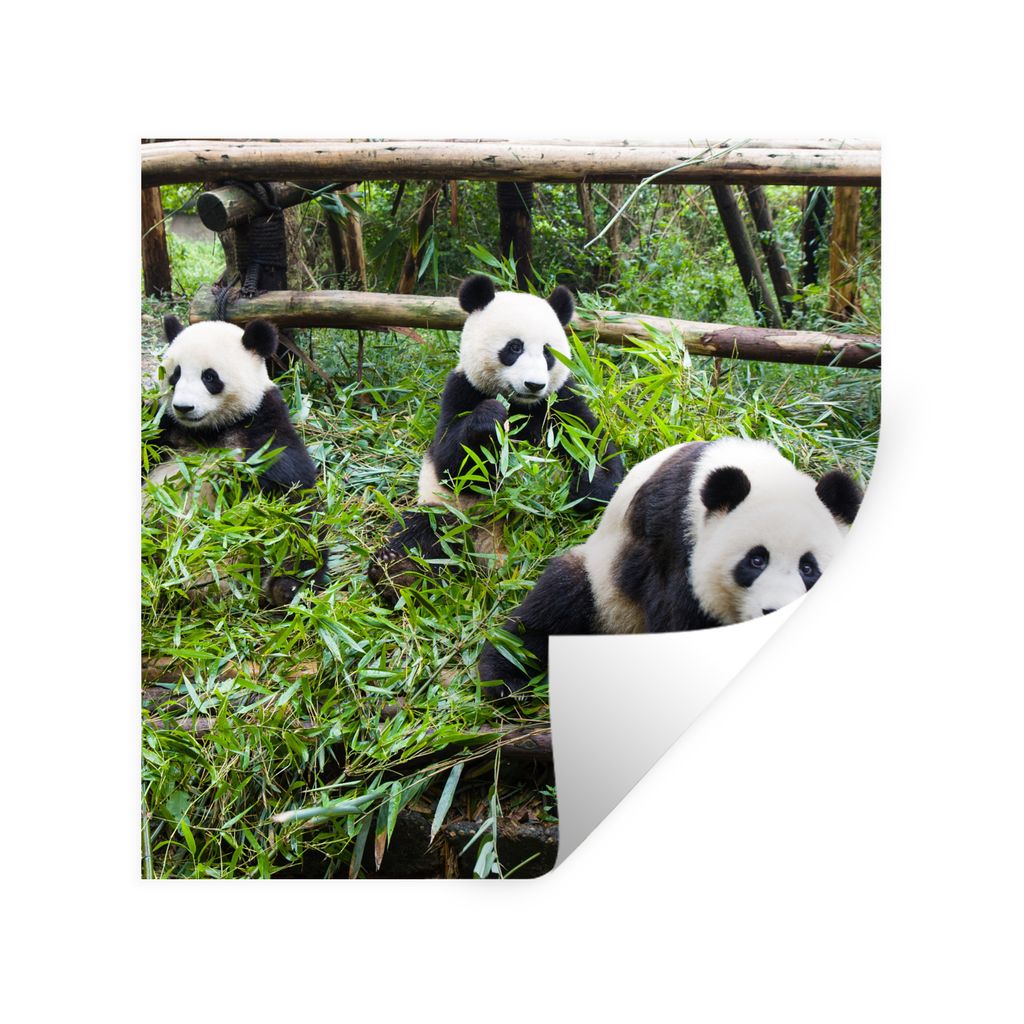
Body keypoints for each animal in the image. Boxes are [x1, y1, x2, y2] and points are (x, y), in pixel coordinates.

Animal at [147, 315, 323, 605]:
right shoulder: (163, 427)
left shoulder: (263, 424)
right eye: (175, 375)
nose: (183, 407)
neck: (208, 430)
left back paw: (285, 590)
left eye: (209, 376)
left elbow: (291, 491)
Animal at [368, 274, 624, 602]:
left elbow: (594, 447)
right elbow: (450, 463)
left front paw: (585, 488)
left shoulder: (561, 401)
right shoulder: (461, 389)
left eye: (547, 352)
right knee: (422, 530)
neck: (521, 405)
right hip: (453, 515)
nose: (534, 384)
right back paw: (398, 574)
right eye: (514, 347)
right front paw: (491, 418)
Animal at [478, 438, 863, 697]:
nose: (773, 611)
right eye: (756, 560)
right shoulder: (674, 537)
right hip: (605, 589)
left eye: (808, 568)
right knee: (553, 607)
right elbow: (676, 619)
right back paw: (504, 678)